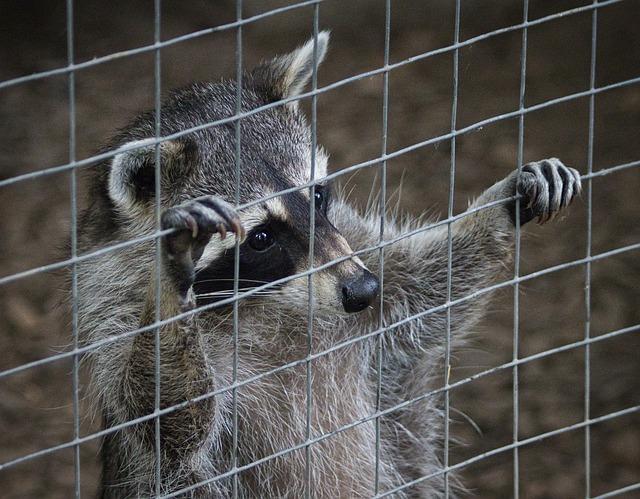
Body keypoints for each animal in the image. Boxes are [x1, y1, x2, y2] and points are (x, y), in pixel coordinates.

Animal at [77, 33, 584, 498]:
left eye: (318, 196)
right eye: (261, 237)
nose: (362, 290)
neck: (267, 301)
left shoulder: (352, 250)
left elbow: (426, 288)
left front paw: (498, 208)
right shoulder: (112, 316)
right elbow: (168, 422)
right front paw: (170, 284)